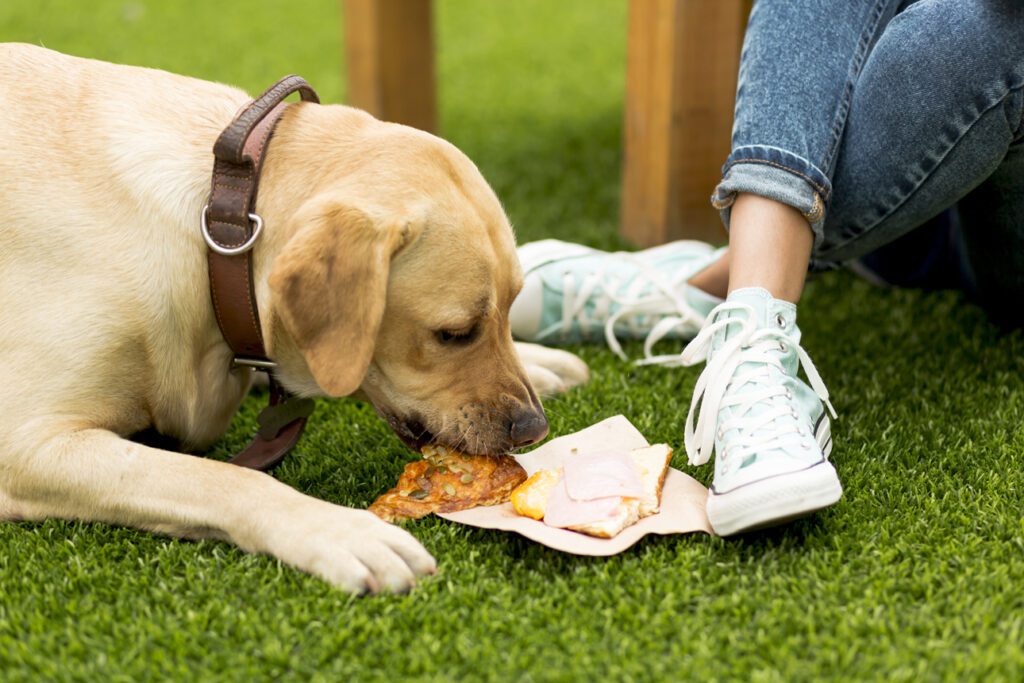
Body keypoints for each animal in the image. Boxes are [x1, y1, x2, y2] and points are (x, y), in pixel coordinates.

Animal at [0, 46, 589, 593]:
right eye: (453, 334)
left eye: (510, 309)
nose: (534, 429)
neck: (219, 228)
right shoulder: (27, 446)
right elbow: (220, 478)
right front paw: (340, 530)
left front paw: (538, 361)